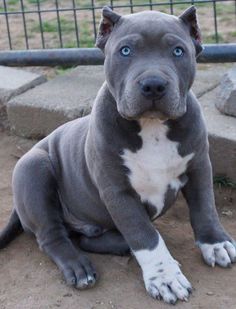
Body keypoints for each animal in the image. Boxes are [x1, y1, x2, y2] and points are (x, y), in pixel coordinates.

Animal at [0, 4, 236, 304]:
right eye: (125, 51)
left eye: (178, 51)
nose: (153, 84)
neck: (152, 126)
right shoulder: (118, 191)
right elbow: (144, 234)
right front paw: (165, 277)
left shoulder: (199, 168)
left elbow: (205, 208)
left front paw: (215, 243)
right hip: (33, 166)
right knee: (52, 236)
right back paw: (78, 267)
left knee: (87, 238)